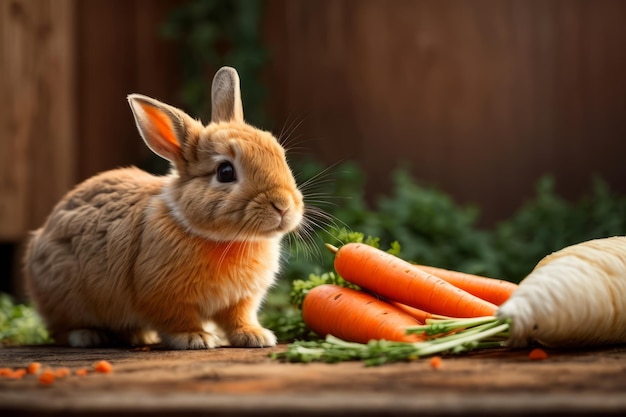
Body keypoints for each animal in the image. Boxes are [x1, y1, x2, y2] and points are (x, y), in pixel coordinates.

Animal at [23, 66, 304, 350]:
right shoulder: (164, 295)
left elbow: (239, 318)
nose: (283, 206)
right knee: (60, 328)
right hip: (65, 294)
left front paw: (255, 336)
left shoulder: (240, 300)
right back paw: (87, 336)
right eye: (225, 172)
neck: (226, 239)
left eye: (280, 154)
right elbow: (178, 319)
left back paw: (139, 336)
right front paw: (196, 338)